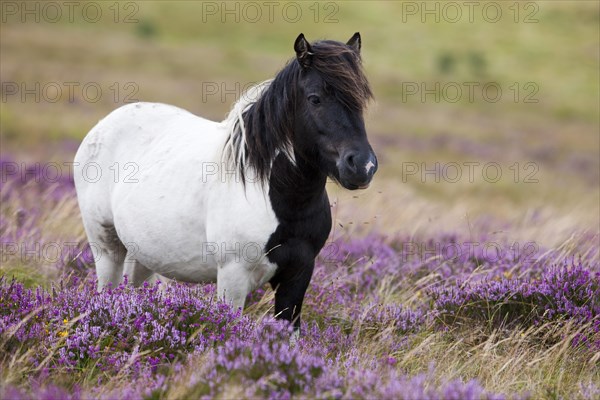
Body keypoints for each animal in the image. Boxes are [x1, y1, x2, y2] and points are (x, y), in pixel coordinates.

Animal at [74, 32, 376, 330]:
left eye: (360, 100)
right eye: (315, 99)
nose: (363, 166)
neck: (274, 195)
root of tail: (102, 126)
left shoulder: (298, 274)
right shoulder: (234, 276)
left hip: (142, 254)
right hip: (107, 249)